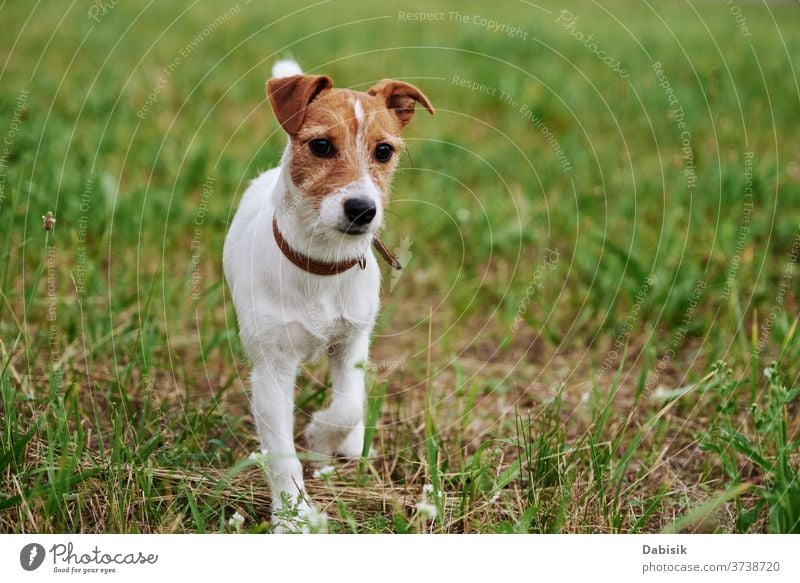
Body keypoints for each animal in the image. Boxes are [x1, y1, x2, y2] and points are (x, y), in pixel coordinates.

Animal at [222, 60, 434, 532]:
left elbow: (349, 405)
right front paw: (294, 515)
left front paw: (321, 437)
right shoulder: (272, 368)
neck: (320, 264)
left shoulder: (352, 342)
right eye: (320, 145)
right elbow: (282, 452)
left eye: (384, 151)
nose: (362, 209)